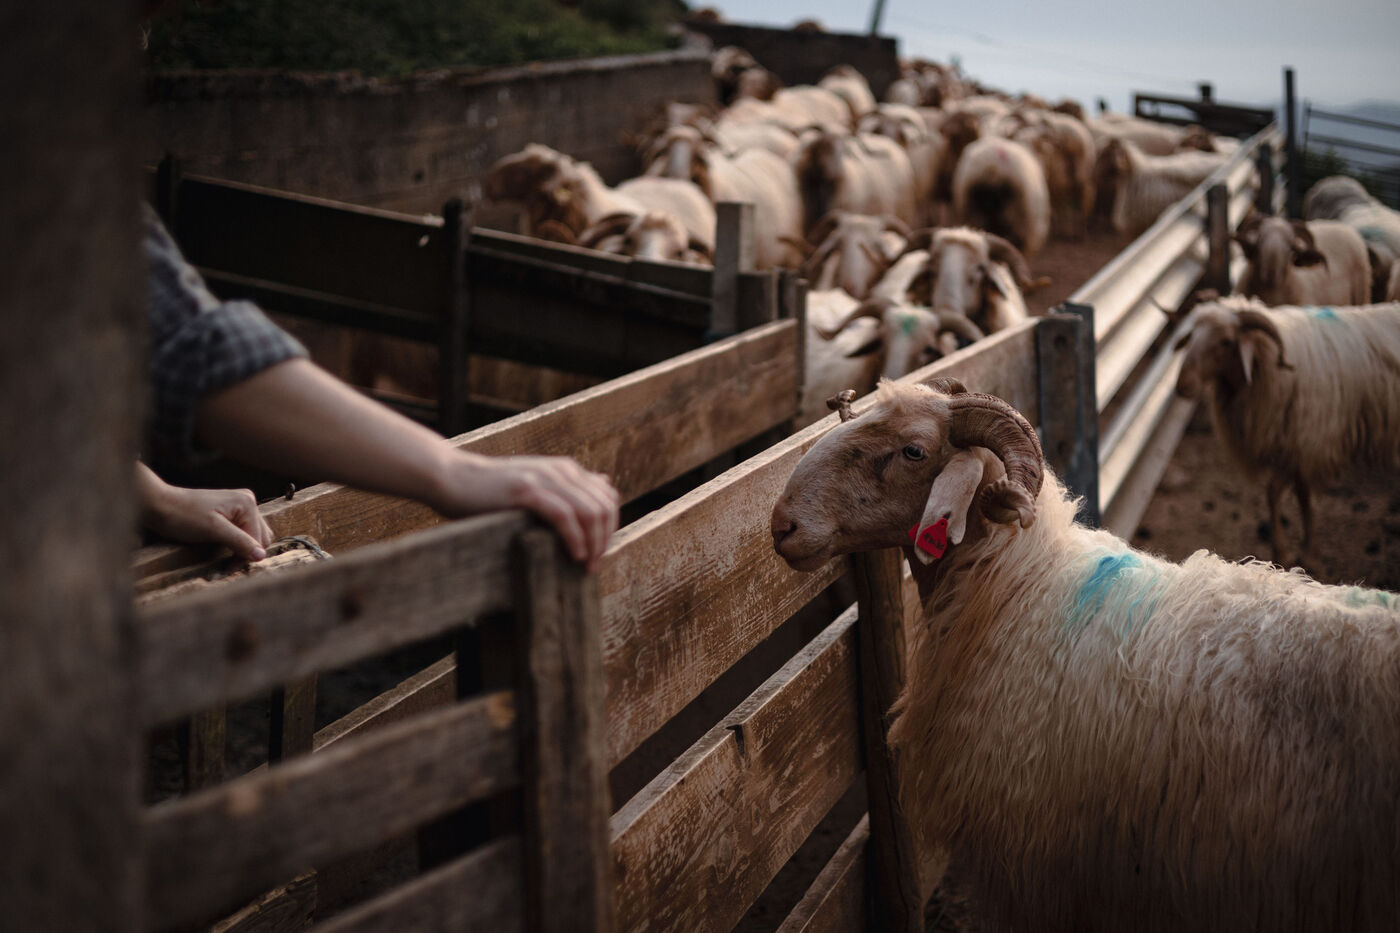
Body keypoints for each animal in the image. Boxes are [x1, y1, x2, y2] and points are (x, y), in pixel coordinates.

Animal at [1172, 295, 1400, 564]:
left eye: (1226, 341)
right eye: (1191, 336)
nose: (1182, 384)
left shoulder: (1307, 444)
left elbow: (1290, 495)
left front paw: (1303, 553)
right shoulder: (1294, 447)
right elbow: (1285, 493)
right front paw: (1291, 550)